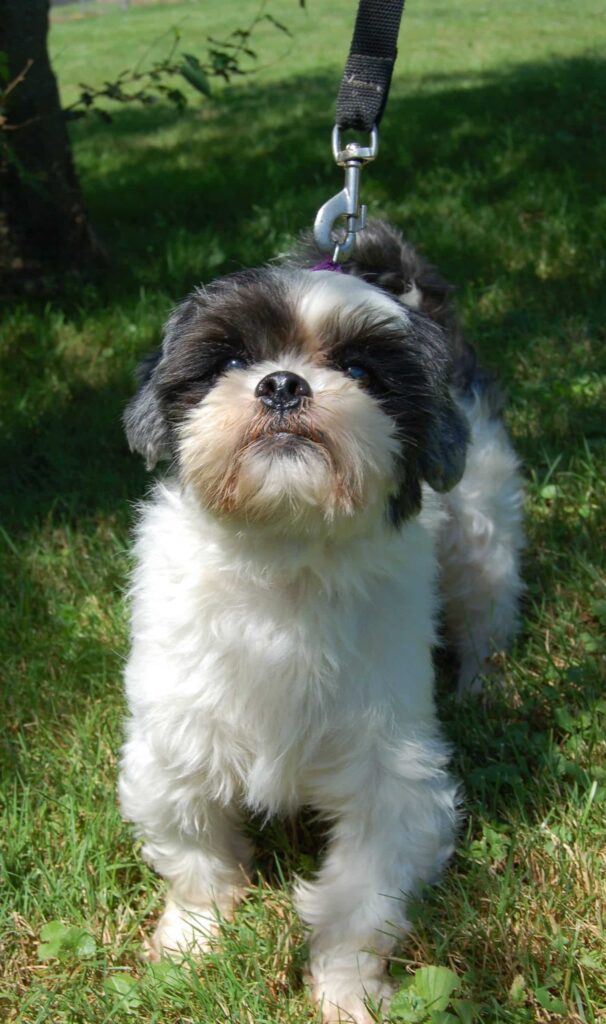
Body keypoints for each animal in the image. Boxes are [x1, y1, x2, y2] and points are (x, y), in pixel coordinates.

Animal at [119, 221, 524, 1023]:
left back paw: (480, 686)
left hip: (483, 532)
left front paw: (349, 990)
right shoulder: (174, 746)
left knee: (484, 609)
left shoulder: (393, 779)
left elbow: (359, 899)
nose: (282, 383)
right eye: (231, 361)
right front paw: (191, 943)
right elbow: (195, 854)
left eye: (361, 369)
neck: (283, 564)